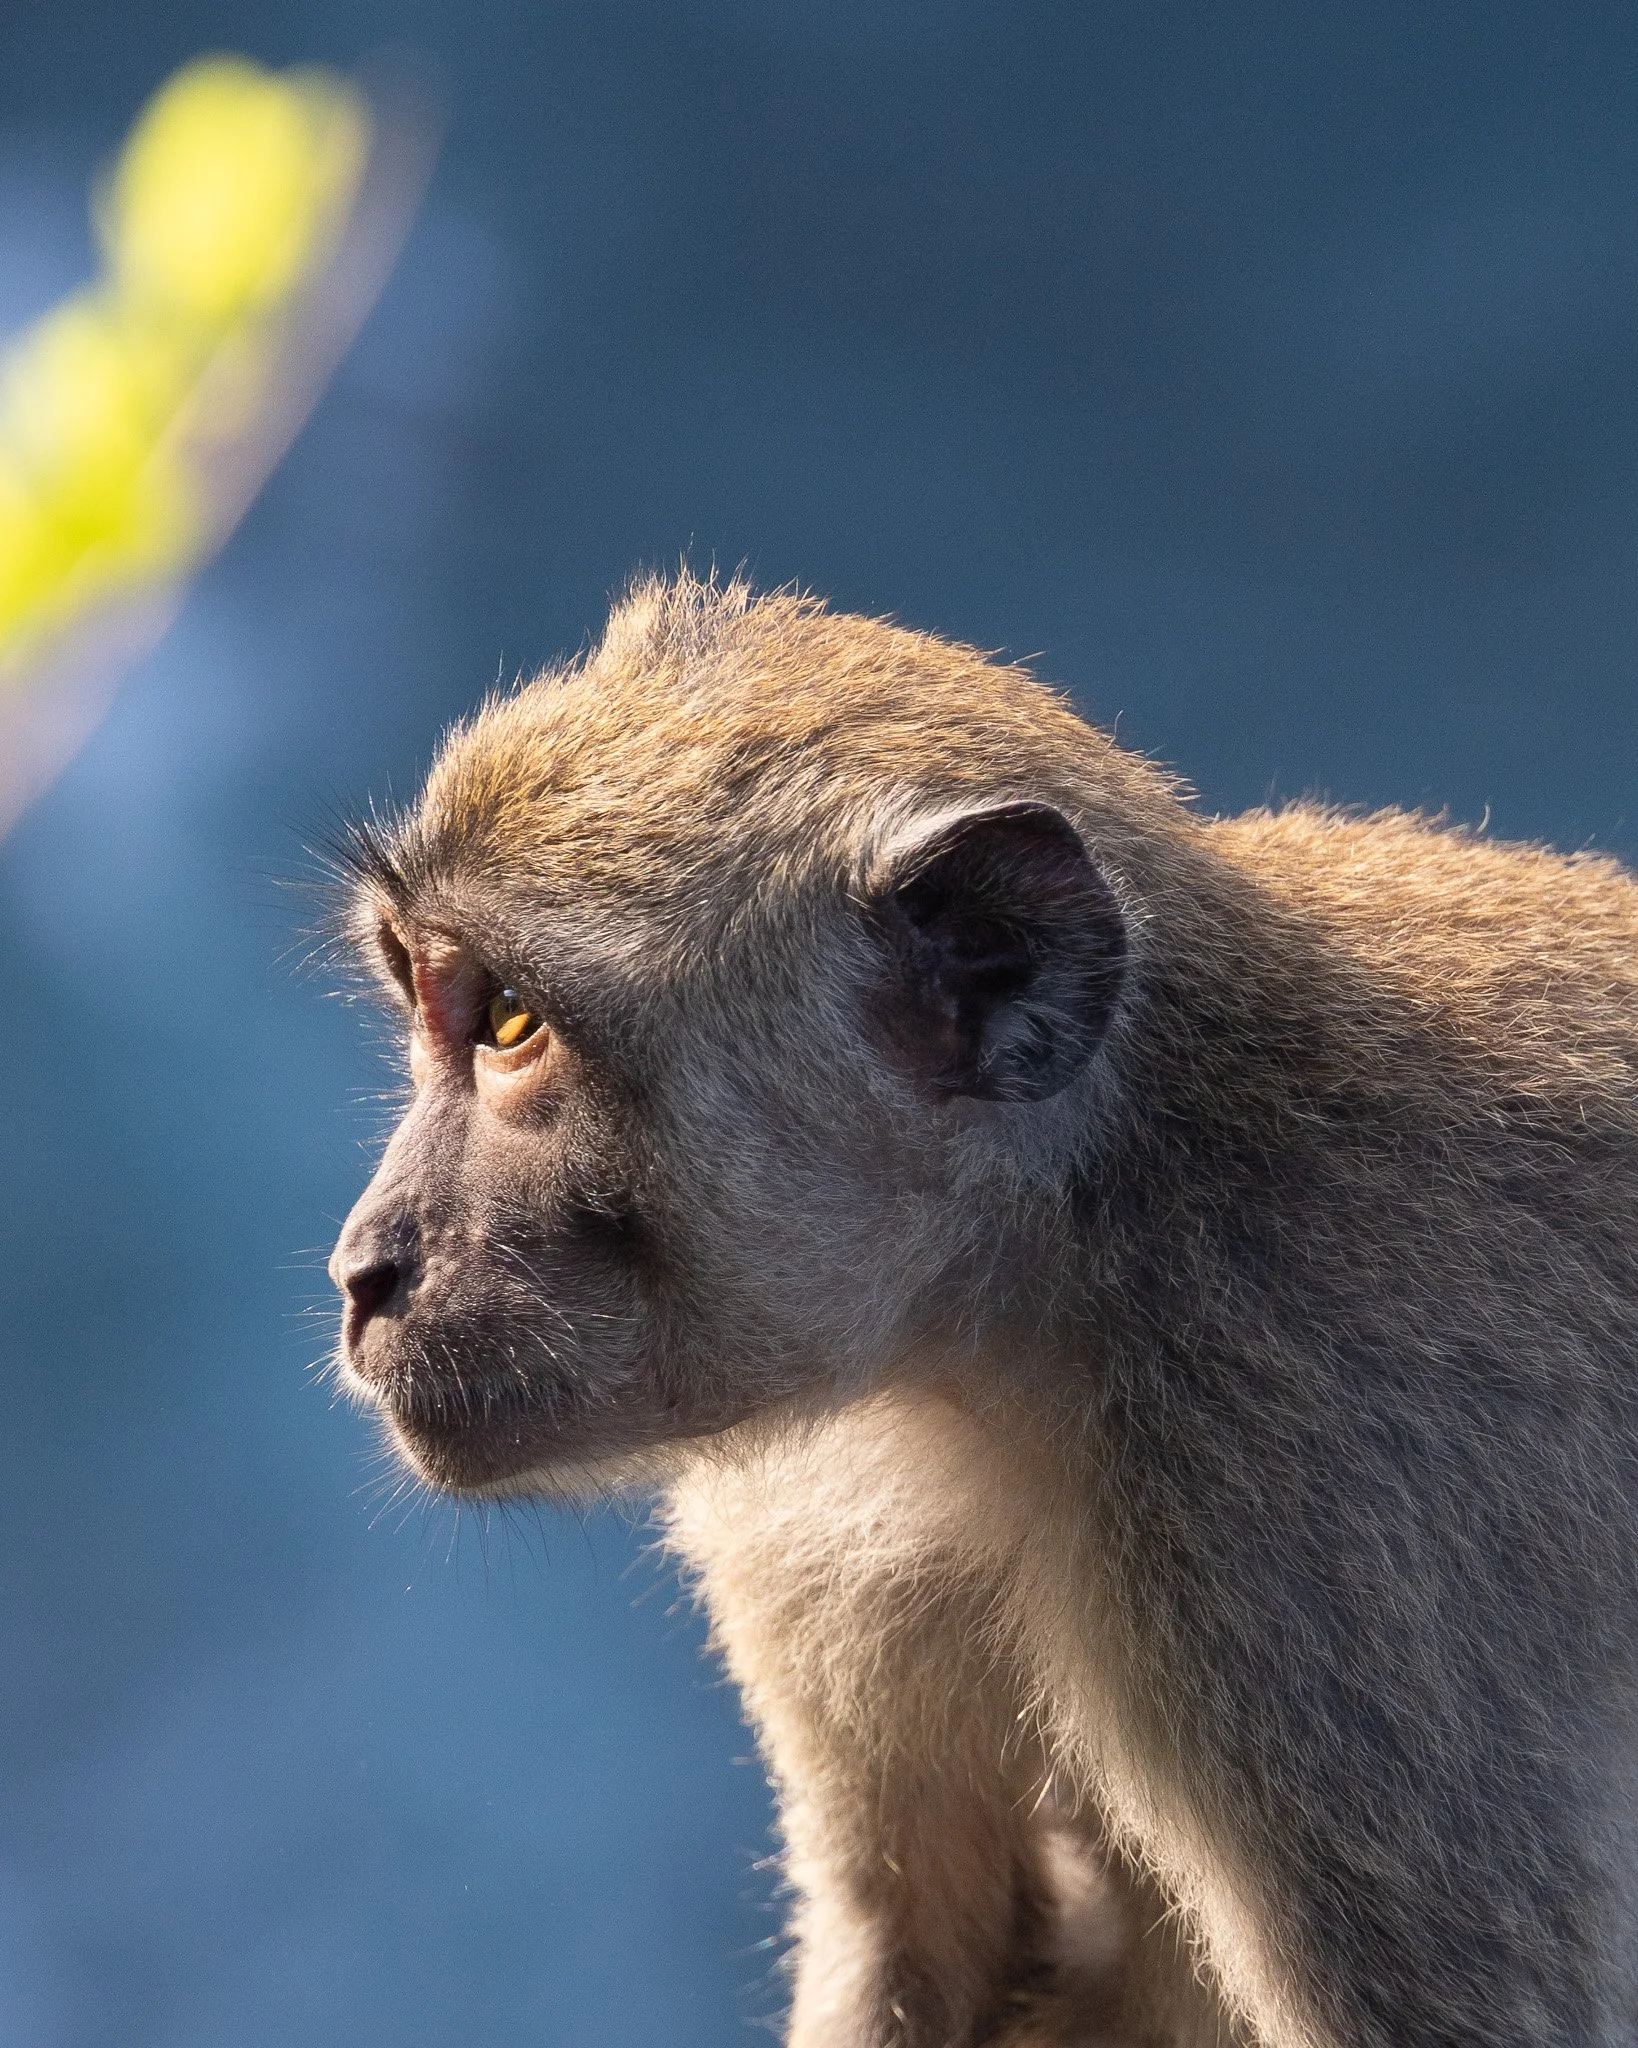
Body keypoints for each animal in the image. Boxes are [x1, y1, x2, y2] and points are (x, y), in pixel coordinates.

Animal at [328, 570, 1638, 2048]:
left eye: (507, 1021)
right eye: (430, 997)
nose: (363, 1266)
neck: (1047, 1283)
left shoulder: (1314, 1526)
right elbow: (909, 1944)